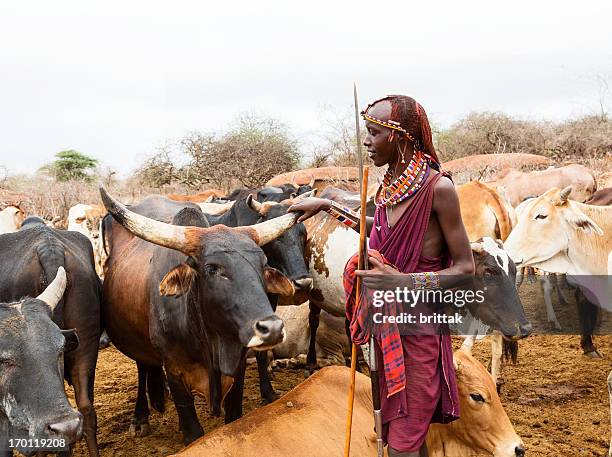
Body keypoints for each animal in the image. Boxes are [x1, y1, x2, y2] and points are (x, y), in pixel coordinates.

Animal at [100, 188, 298, 442]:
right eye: (212, 268)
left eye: (263, 263)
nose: (272, 329)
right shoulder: (175, 371)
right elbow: (193, 432)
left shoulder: (237, 367)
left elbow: (234, 417)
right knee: (143, 368)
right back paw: (140, 417)